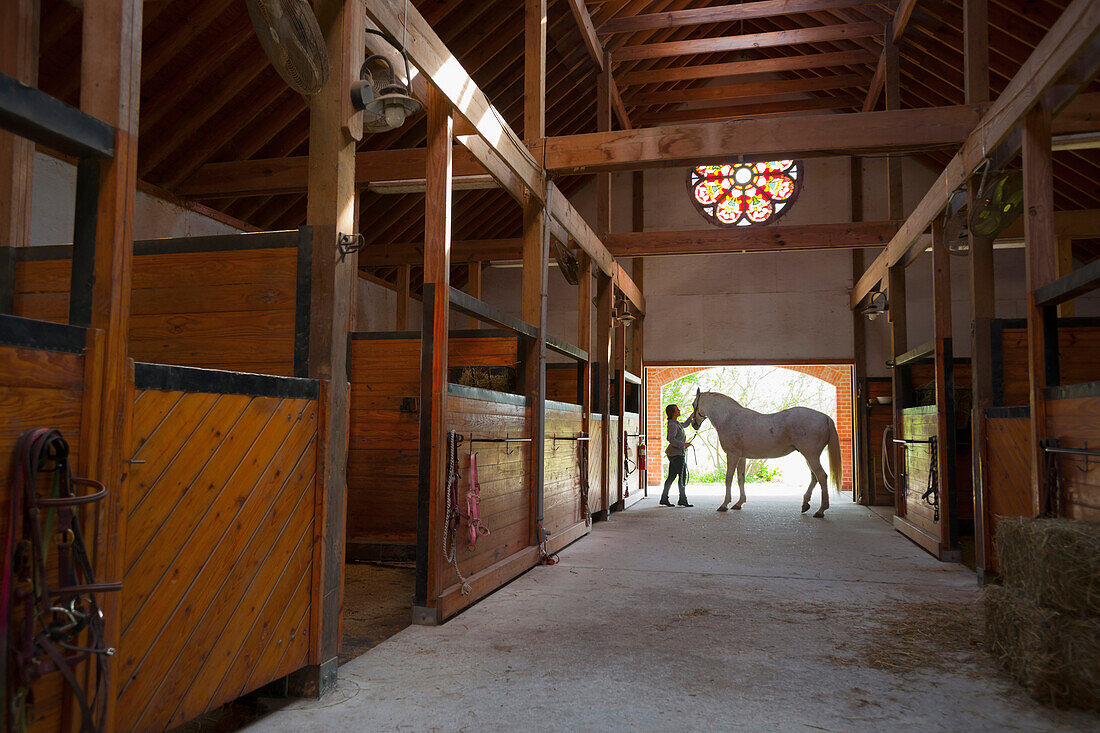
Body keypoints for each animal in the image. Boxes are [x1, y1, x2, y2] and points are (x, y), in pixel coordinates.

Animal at [686, 385, 840, 517]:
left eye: (694, 404)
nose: (693, 424)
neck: (728, 418)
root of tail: (825, 417)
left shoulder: (733, 455)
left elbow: (728, 478)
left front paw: (724, 504)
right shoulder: (742, 457)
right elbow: (741, 478)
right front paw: (739, 503)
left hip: (811, 456)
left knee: (821, 477)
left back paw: (821, 510)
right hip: (808, 456)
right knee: (814, 477)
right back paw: (805, 504)